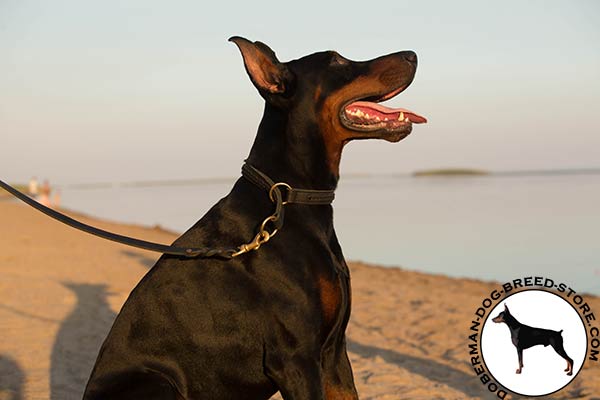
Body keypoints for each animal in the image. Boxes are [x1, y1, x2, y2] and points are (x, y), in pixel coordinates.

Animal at [83, 36, 426, 398]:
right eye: (336, 61)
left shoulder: (334, 354)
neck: (291, 198)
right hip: (159, 382)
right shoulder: (295, 357)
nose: (412, 55)